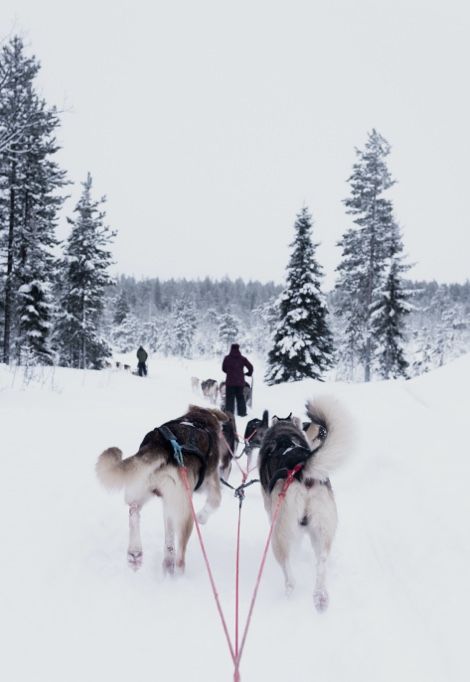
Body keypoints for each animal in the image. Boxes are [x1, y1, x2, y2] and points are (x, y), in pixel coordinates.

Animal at [96, 404, 228, 572]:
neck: (199, 419)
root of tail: (160, 446)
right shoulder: (211, 482)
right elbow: (215, 501)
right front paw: (202, 517)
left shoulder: (168, 504)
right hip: (185, 511)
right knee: (180, 556)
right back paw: (177, 572)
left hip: (142, 489)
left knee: (134, 513)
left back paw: (136, 554)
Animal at [258, 396, 352, 608]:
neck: (284, 434)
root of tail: (302, 469)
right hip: (322, 529)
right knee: (322, 562)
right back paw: (320, 596)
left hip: (279, 531)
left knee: (288, 572)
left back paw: (289, 593)